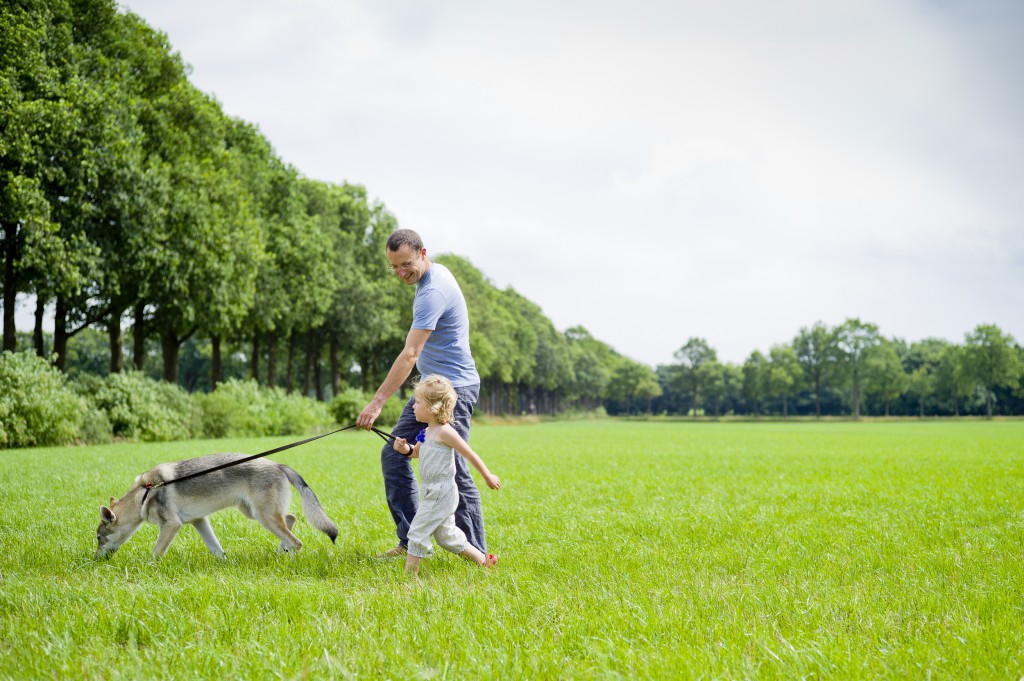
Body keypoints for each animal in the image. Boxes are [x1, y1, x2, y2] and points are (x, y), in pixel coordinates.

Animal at [95, 450, 339, 557]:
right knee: (291, 518)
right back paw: (281, 550)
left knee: (296, 540)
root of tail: (278, 464)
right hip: (254, 513)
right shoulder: (199, 521)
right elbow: (216, 549)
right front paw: (225, 564)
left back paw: (286, 554)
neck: (145, 494)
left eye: (98, 538)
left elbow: (155, 553)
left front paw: (148, 569)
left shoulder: (171, 525)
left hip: (264, 517)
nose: (96, 559)